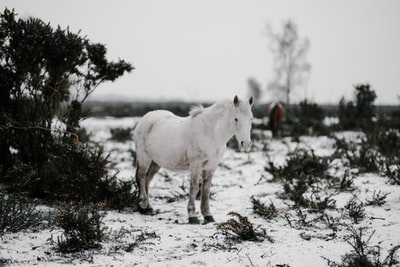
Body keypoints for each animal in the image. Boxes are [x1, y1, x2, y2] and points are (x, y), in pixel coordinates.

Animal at [134, 95, 253, 225]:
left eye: (251, 119)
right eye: (236, 119)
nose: (246, 145)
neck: (211, 133)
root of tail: (146, 118)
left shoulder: (211, 167)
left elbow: (206, 190)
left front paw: (208, 216)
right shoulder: (196, 165)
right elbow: (194, 188)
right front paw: (192, 216)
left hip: (156, 162)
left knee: (147, 180)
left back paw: (148, 208)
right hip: (144, 158)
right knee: (141, 177)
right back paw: (142, 205)